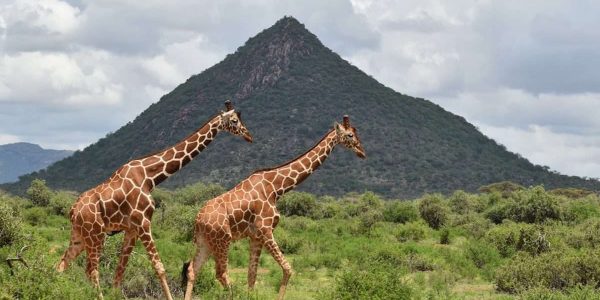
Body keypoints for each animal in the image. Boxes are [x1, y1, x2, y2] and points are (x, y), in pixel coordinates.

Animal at [56, 99, 251, 298]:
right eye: (234, 120)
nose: (248, 135)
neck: (150, 177)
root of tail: (73, 210)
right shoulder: (143, 223)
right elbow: (159, 267)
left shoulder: (132, 229)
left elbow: (120, 271)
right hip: (95, 235)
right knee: (91, 271)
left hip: (79, 235)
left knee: (62, 264)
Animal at [183, 115, 366, 300]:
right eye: (350, 135)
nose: (362, 152)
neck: (276, 189)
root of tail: (198, 220)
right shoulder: (265, 230)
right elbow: (288, 269)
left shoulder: (256, 236)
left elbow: (252, 275)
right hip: (223, 239)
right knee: (221, 274)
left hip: (206, 242)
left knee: (192, 270)